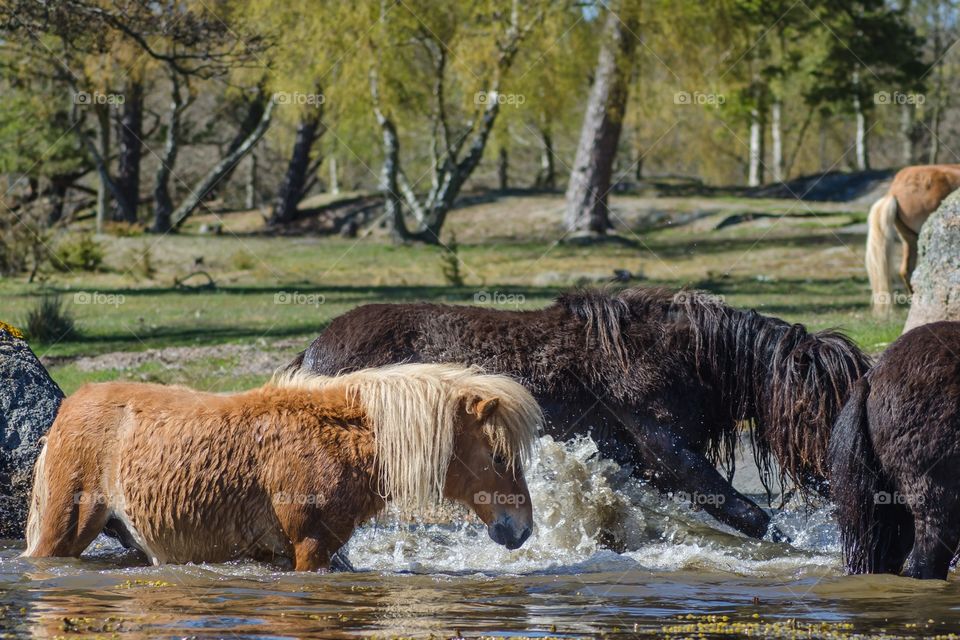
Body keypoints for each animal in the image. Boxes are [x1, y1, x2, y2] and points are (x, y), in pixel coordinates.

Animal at [24, 362, 540, 572]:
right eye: (498, 457)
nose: (521, 530)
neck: (337, 440)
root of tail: (71, 404)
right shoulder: (309, 546)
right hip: (62, 531)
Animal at [292, 286, 872, 540]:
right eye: (825, 408)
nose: (850, 474)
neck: (689, 359)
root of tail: (313, 352)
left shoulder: (643, 464)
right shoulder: (668, 451)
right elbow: (748, 513)